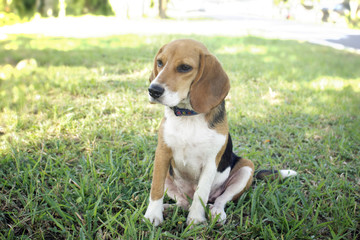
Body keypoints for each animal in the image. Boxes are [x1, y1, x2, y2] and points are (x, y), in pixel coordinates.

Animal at [143, 38, 296, 226]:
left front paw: (195, 220)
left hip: (246, 168)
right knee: (183, 202)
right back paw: (168, 208)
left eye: (185, 67)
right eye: (160, 62)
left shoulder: (210, 162)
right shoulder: (162, 155)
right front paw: (153, 215)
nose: (153, 90)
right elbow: (155, 189)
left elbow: (201, 193)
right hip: (168, 176)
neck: (188, 117)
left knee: (220, 199)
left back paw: (216, 212)